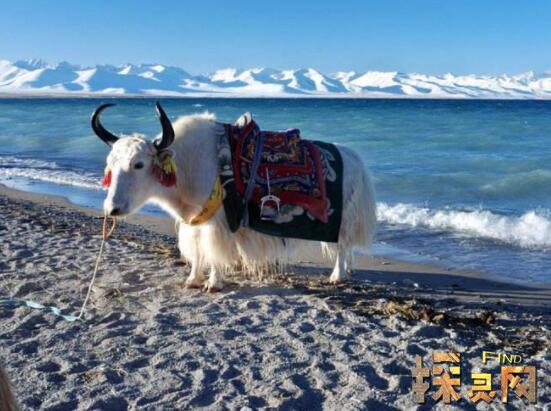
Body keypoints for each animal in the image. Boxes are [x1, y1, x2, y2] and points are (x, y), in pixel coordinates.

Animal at [92, 103, 376, 291]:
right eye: (110, 165)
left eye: (138, 164)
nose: (111, 209)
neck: (187, 164)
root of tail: (354, 159)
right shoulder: (195, 221)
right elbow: (197, 252)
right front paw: (192, 279)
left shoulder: (218, 223)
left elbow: (213, 253)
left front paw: (213, 283)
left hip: (344, 219)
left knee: (343, 246)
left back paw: (337, 276)